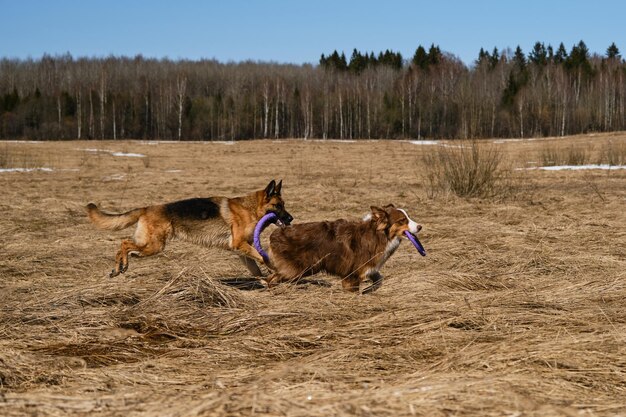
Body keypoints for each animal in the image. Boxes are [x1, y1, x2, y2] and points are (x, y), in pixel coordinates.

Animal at [85, 179, 292, 276]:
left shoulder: (240, 250)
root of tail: (146, 208)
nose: (291, 218)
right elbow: (262, 257)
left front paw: (266, 281)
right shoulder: (240, 245)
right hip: (154, 246)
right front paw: (274, 268)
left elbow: (255, 267)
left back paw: (119, 267)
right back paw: (121, 266)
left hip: (149, 247)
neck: (251, 208)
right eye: (278, 206)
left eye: (284, 205)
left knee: (125, 246)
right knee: (124, 243)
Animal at [264, 205, 420, 292]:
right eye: (402, 220)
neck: (378, 235)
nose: (420, 227)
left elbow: (379, 280)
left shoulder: (368, 269)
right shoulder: (352, 275)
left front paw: (369, 290)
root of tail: (275, 233)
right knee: (271, 279)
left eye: (409, 217)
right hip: (298, 269)